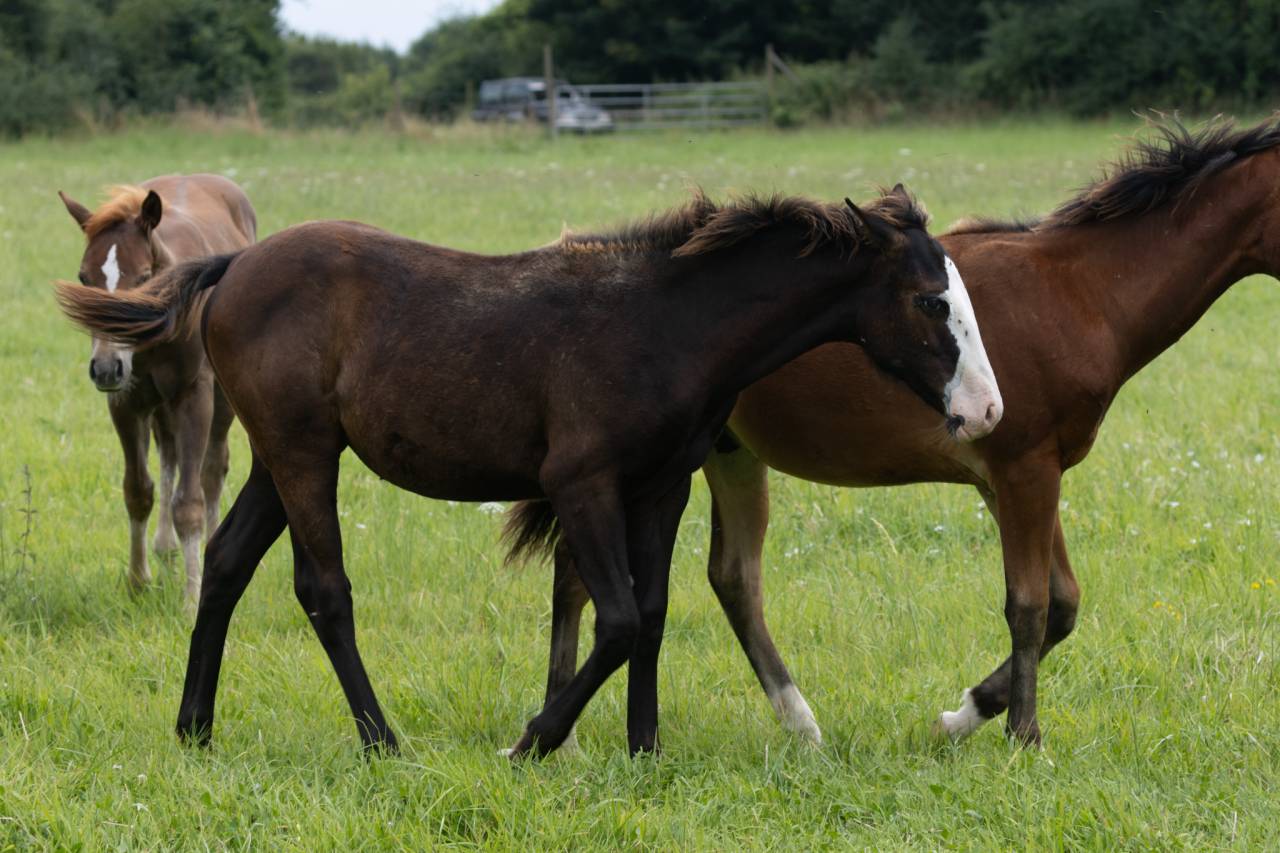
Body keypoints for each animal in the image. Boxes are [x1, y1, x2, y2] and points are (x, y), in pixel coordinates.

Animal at [58, 176, 257, 603]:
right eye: (84, 278)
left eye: (144, 276)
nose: (104, 368)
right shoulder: (126, 400)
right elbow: (138, 489)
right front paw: (137, 581)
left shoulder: (193, 396)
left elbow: (191, 500)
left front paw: (192, 597)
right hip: (159, 406)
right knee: (168, 455)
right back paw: (165, 548)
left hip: (219, 398)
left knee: (212, 468)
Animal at [541, 115, 1280, 748]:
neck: (1079, 294)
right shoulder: (1023, 470)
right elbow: (1030, 606)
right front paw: (1022, 736)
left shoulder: (1014, 478)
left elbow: (1063, 604)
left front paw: (962, 716)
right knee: (587, 578)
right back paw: (567, 735)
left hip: (729, 456)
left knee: (730, 578)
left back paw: (798, 724)